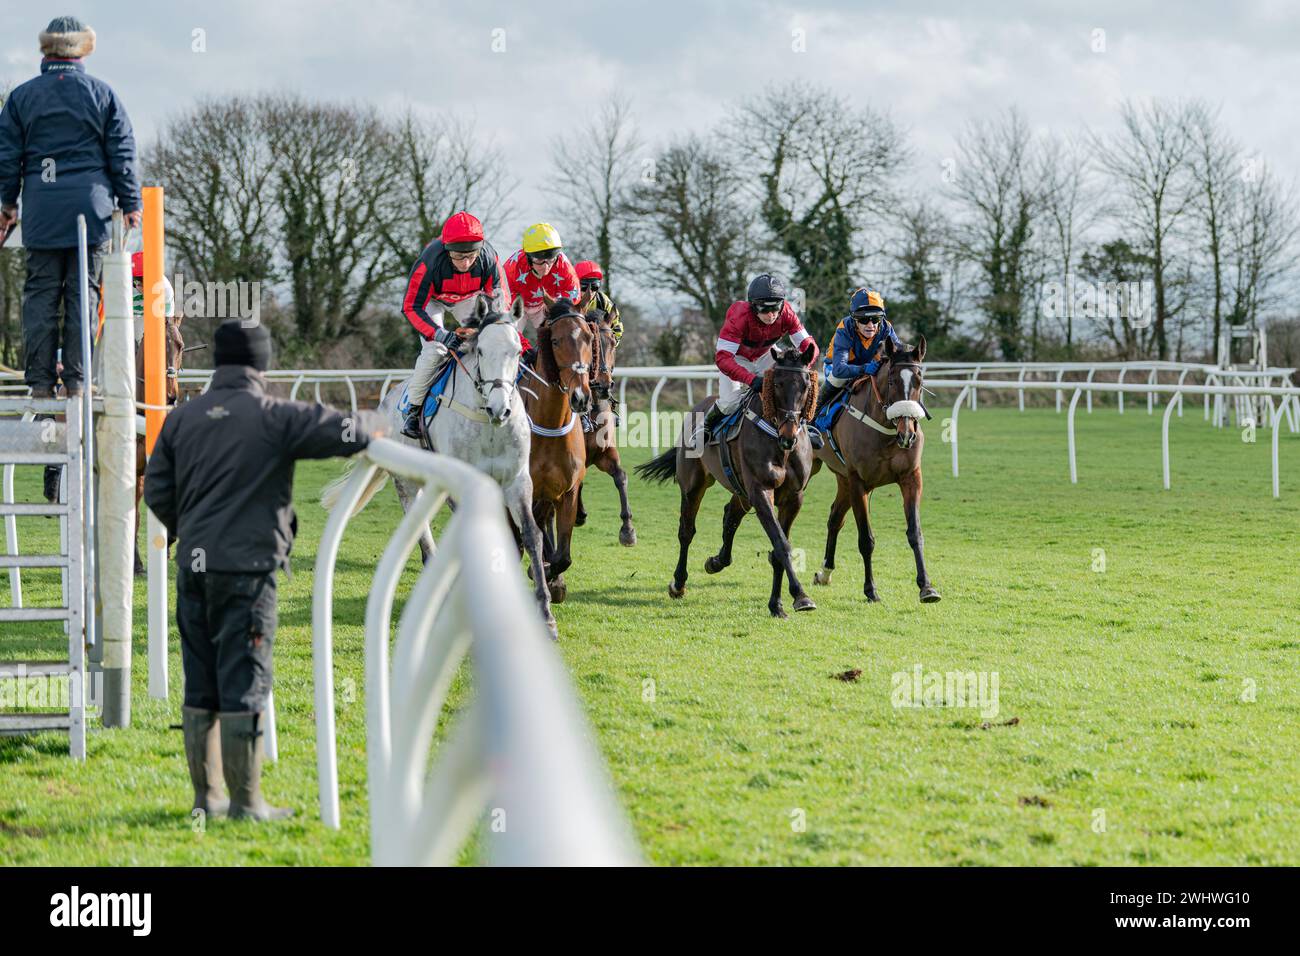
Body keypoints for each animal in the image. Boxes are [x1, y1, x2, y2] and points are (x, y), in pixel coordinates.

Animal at [322, 295, 556, 639]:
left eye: (516, 352)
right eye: (481, 351)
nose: (499, 408)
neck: (486, 422)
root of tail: (386, 401)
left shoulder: (517, 481)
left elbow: (531, 534)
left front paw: (545, 614)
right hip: (408, 483)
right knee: (422, 533)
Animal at [574, 306, 634, 546]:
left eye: (612, 341)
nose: (603, 385)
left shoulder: (605, 452)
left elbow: (621, 476)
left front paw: (628, 529)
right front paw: (579, 514)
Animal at [634, 343, 816, 621]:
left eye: (805, 385)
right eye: (777, 384)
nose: (789, 435)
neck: (779, 444)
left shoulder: (793, 497)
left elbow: (777, 549)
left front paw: (778, 604)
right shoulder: (760, 490)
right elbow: (781, 544)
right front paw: (800, 595)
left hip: (741, 491)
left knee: (730, 515)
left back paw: (717, 561)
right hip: (693, 485)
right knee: (686, 531)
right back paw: (679, 583)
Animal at [806, 335, 941, 606]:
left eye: (920, 381)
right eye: (891, 380)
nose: (907, 433)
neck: (886, 431)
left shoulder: (911, 478)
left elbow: (915, 533)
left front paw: (927, 587)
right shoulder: (860, 483)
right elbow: (866, 540)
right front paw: (870, 590)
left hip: (843, 479)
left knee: (835, 518)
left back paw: (824, 573)